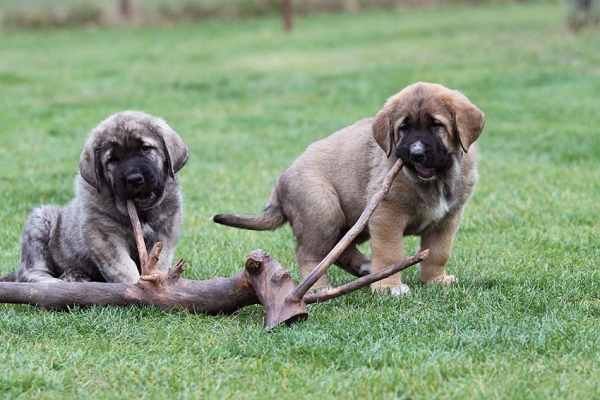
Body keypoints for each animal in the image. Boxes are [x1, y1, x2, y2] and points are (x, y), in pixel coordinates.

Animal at [0, 111, 188, 282]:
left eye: (145, 148)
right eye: (112, 160)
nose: (134, 178)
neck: (142, 213)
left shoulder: (165, 230)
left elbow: (160, 260)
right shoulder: (102, 233)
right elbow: (124, 267)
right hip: (41, 220)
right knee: (30, 273)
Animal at [213, 82, 486, 294]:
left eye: (436, 125)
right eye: (404, 128)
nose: (415, 153)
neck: (436, 180)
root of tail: (280, 182)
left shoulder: (447, 219)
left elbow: (439, 252)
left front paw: (435, 281)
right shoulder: (386, 214)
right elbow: (391, 252)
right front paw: (388, 286)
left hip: (354, 218)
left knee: (338, 247)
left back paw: (364, 267)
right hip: (324, 211)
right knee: (311, 254)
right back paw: (318, 287)